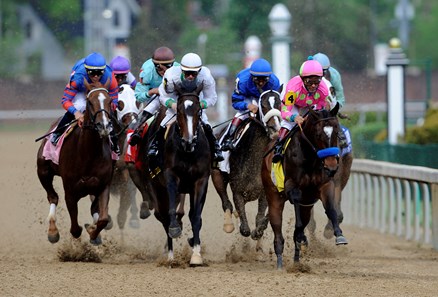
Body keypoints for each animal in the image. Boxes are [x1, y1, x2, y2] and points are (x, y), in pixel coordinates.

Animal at [36, 80, 114, 244]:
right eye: (89, 101)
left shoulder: (103, 185)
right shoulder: (70, 191)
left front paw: (93, 232)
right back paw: (52, 231)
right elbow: (75, 229)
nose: (104, 126)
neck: (88, 154)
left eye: (110, 101)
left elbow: (103, 219)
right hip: (43, 171)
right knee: (52, 196)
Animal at [211, 88, 280, 238]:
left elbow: (259, 219)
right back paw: (228, 225)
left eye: (280, 103)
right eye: (263, 105)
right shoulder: (237, 191)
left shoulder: (264, 192)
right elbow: (244, 229)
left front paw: (259, 230)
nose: (275, 128)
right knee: (226, 203)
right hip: (217, 176)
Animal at [262, 103, 348, 268]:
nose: (332, 166)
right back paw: (280, 261)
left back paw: (297, 260)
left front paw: (339, 235)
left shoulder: (325, 185)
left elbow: (331, 210)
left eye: (336, 131)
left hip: (307, 205)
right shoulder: (291, 186)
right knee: (277, 227)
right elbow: (297, 219)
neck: (310, 158)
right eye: (318, 134)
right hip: (273, 196)